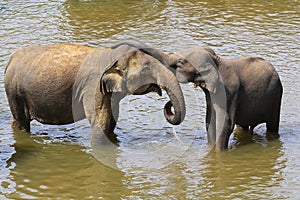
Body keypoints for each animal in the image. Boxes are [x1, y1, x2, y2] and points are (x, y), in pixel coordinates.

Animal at [4, 41, 186, 143]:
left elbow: (111, 122)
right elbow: (101, 125)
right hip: (14, 91)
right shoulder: (93, 87)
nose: (168, 104)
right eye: (147, 69)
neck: (110, 54)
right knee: (22, 122)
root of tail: (11, 59)